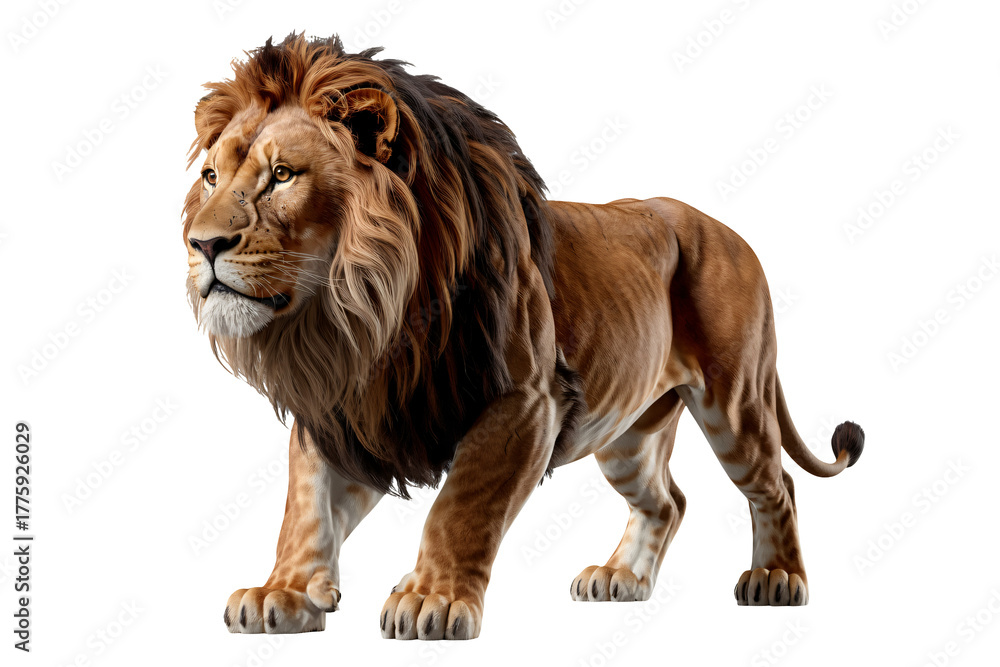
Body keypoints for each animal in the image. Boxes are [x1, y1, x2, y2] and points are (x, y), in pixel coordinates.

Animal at [183, 34, 865, 640]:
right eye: (212, 177)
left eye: (281, 175)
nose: (202, 244)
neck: (355, 322)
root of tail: (732, 233)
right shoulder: (345, 413)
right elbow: (305, 508)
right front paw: (283, 593)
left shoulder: (526, 402)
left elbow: (462, 506)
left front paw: (432, 599)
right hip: (626, 432)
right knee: (667, 500)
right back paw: (621, 577)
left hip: (735, 401)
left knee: (777, 485)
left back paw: (776, 578)